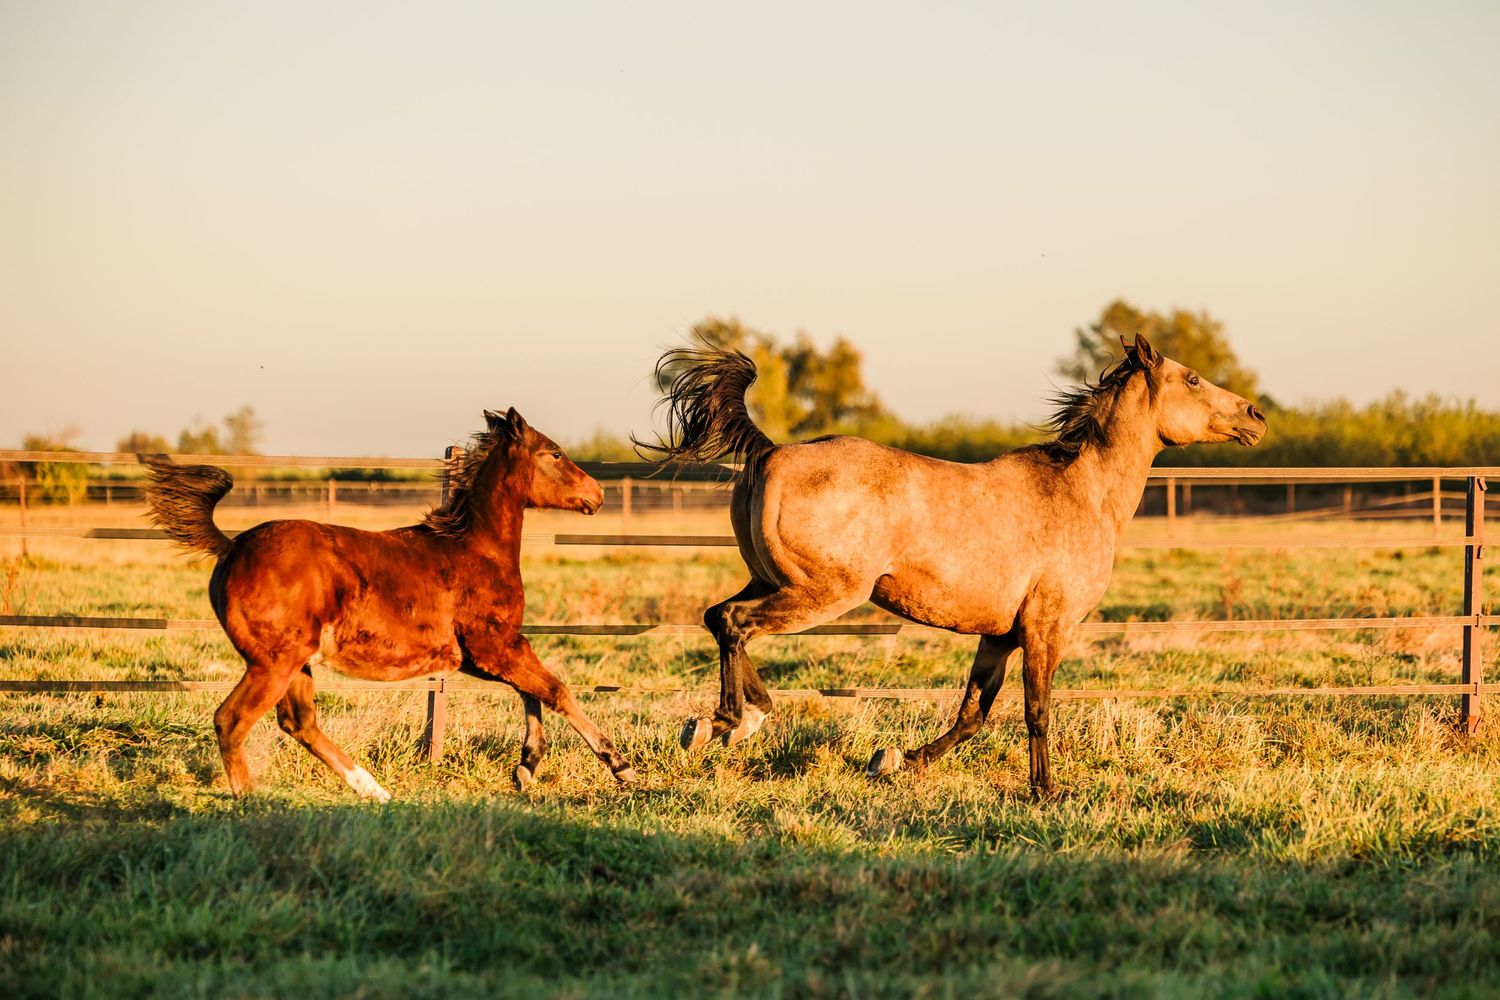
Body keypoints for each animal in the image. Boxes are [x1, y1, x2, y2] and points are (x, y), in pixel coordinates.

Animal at [143, 407, 636, 801]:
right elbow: (555, 690)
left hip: (296, 664)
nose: (597, 493)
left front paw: (526, 767)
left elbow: (531, 692)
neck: (475, 548)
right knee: (232, 720)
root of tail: (231, 547)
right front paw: (619, 765)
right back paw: (251, 801)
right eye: (555, 453)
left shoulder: (478, 654)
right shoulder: (493, 646)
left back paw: (374, 790)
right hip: (273, 663)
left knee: (300, 723)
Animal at [639, 334, 1266, 795]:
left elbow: (972, 715)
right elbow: (1036, 710)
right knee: (735, 624)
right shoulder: (1047, 629)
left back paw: (741, 719)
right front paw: (1046, 791)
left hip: (773, 580)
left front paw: (895, 759)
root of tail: (770, 451)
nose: (1255, 415)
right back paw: (726, 721)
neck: (1082, 492)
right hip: (822, 593)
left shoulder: (1000, 635)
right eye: (1191, 378)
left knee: (719, 616)